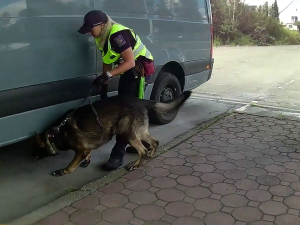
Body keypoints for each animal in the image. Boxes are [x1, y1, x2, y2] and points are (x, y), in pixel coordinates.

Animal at [32, 90, 191, 177]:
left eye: (37, 148)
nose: (34, 157)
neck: (56, 132)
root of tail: (139, 100)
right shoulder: (87, 146)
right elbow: (89, 151)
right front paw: (87, 161)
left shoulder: (79, 150)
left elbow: (71, 166)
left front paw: (62, 172)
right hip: (139, 132)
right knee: (154, 142)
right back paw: (150, 155)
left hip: (128, 134)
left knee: (142, 150)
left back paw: (136, 164)